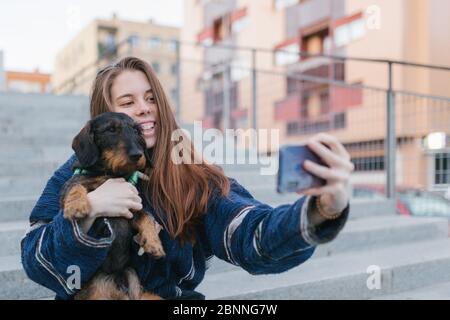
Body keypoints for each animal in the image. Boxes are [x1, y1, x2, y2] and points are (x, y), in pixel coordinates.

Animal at [59, 112, 164, 300]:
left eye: (137, 131)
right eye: (111, 130)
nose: (137, 155)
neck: (109, 174)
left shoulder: (132, 209)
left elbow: (146, 217)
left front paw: (154, 243)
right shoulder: (70, 185)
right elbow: (75, 186)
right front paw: (76, 206)